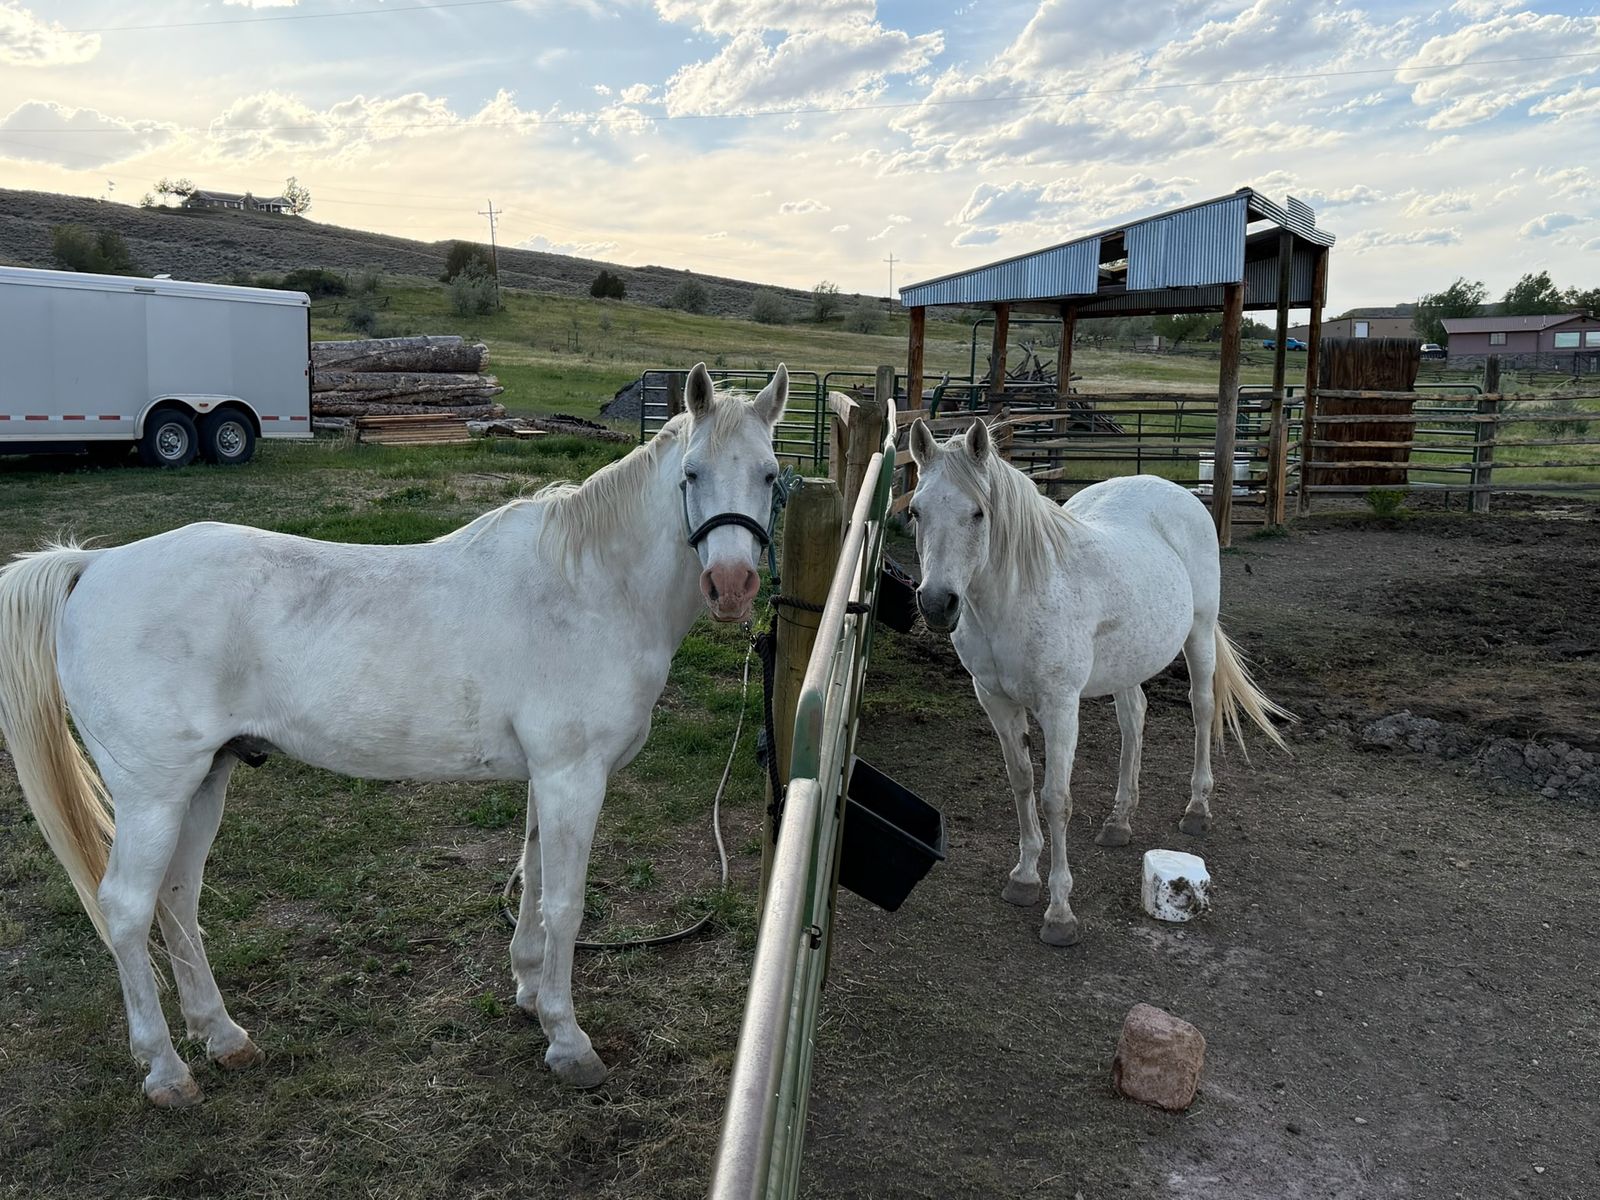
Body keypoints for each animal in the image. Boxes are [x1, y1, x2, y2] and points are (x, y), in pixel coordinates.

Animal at [0, 362, 786, 1106]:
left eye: (771, 476)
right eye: (692, 474)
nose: (733, 586)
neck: (588, 587)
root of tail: (96, 564)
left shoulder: (549, 778)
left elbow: (532, 883)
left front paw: (530, 996)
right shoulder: (573, 776)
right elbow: (565, 904)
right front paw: (568, 1042)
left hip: (204, 782)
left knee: (177, 899)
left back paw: (223, 1038)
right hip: (154, 794)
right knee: (128, 909)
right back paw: (165, 1072)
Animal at [904, 416, 1290, 947]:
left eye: (979, 513)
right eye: (916, 512)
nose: (936, 604)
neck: (1014, 596)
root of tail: (1171, 489)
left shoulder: (1060, 706)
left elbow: (1056, 799)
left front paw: (1059, 912)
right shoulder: (996, 701)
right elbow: (1022, 783)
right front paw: (1024, 877)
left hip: (1199, 634)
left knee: (1202, 709)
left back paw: (1196, 809)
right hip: (1127, 662)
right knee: (1134, 718)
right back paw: (1119, 820)